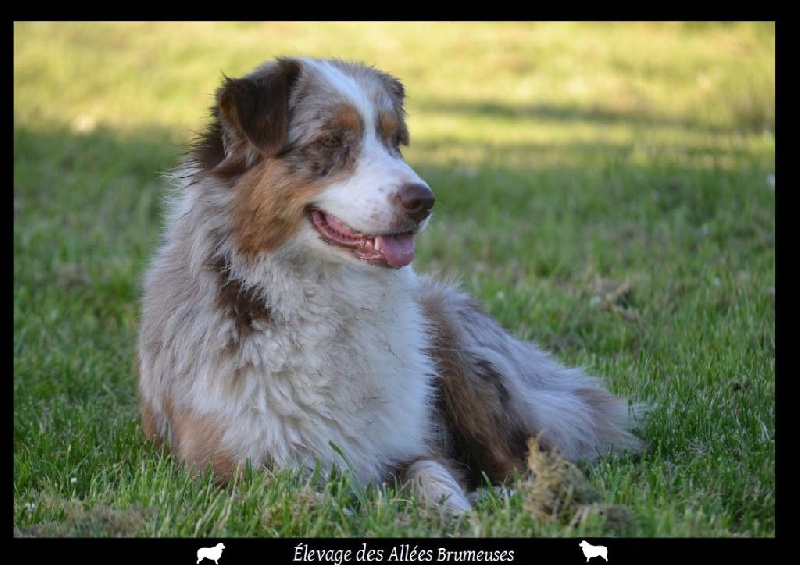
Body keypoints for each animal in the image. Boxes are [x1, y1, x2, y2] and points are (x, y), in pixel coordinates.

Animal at [136, 57, 644, 512]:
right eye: (331, 141)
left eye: (395, 141)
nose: (424, 200)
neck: (327, 300)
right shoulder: (224, 471)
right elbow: (307, 500)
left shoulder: (414, 442)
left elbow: (436, 478)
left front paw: (454, 514)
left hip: (459, 353)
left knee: (519, 463)